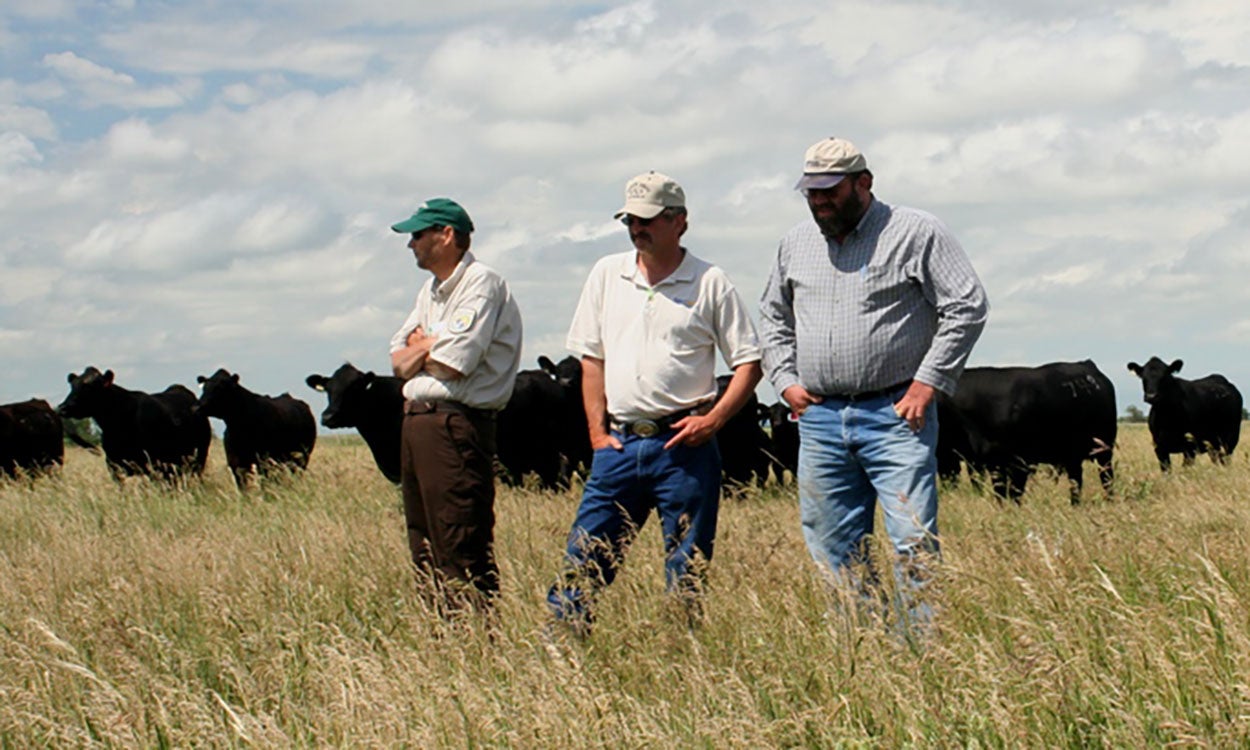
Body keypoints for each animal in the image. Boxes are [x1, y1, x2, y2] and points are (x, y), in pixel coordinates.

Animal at [58, 367, 210, 480]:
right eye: (72, 386)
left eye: (91, 386)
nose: (63, 407)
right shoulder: (114, 465)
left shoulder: (150, 464)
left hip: (199, 455)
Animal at [935, 362, 1120, 505]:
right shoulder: (977, 461)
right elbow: (998, 492)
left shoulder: (1020, 462)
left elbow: (1014, 493)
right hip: (1072, 456)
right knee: (1076, 481)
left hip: (1104, 450)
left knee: (1106, 479)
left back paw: (1108, 502)